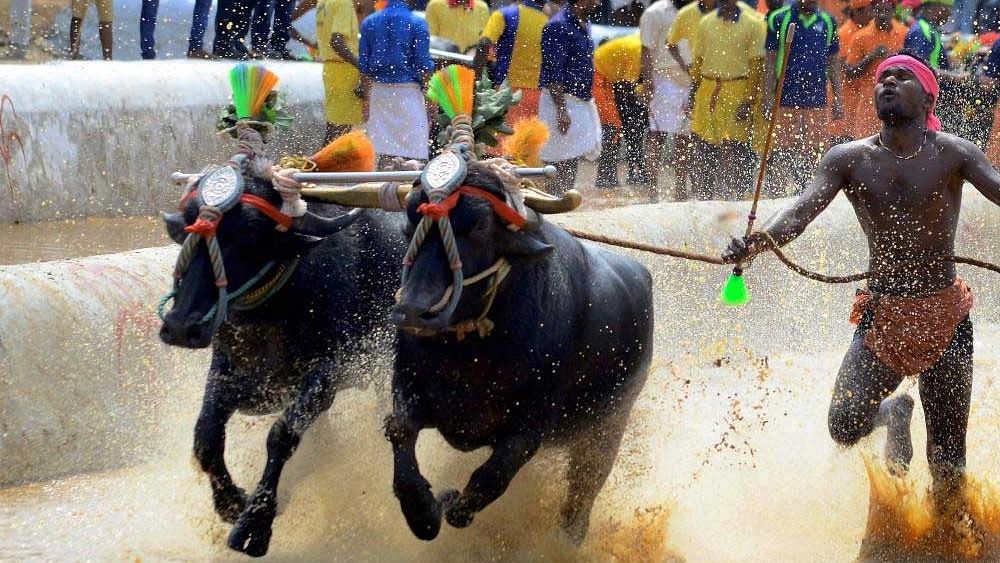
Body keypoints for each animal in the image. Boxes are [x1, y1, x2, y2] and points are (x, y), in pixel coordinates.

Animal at [160, 165, 402, 556]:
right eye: (187, 228)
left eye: (248, 233)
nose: (181, 326)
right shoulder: (228, 368)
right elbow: (205, 435)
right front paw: (230, 503)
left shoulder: (326, 377)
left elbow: (281, 435)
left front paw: (255, 522)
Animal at [384, 166, 656, 540]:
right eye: (410, 222)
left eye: (481, 227)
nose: (413, 310)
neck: (470, 352)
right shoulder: (408, 384)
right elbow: (401, 436)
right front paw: (424, 511)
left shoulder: (528, 429)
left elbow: (490, 479)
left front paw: (451, 501)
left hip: (608, 426)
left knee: (583, 488)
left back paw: (569, 537)